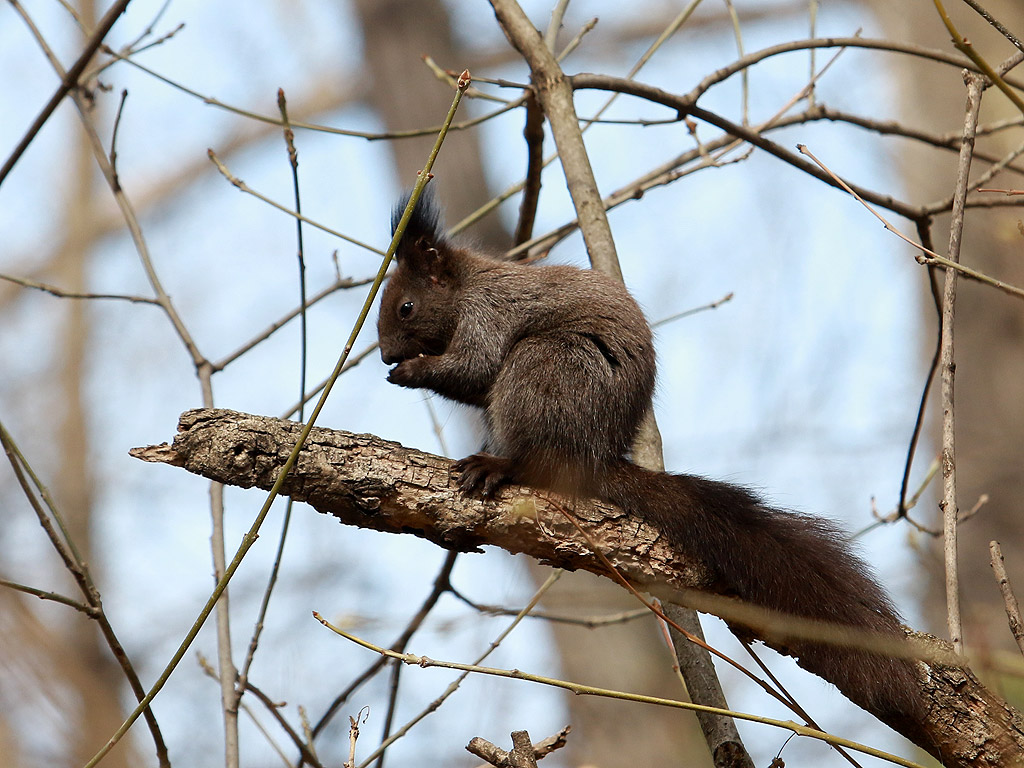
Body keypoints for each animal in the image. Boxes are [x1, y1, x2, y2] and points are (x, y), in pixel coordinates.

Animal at [376, 189, 921, 724]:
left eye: (405, 307)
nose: (384, 355)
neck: (466, 285)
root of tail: (594, 456)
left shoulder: (489, 315)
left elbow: (475, 366)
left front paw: (413, 371)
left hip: (548, 368)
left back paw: (501, 465)